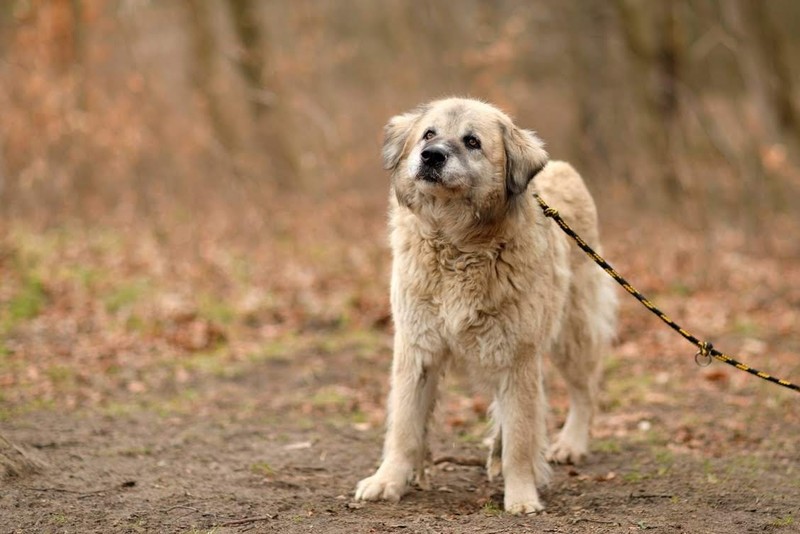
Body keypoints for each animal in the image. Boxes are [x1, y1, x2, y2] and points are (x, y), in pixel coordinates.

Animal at [356, 98, 620, 516]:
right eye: (428, 134)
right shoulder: (417, 351)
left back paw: (570, 444)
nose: (431, 156)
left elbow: (521, 438)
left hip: (572, 336)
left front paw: (522, 496)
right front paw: (388, 481)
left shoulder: (517, 356)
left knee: (584, 391)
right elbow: (404, 426)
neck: (456, 245)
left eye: (472, 141)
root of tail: (562, 167)